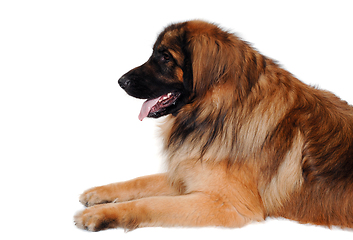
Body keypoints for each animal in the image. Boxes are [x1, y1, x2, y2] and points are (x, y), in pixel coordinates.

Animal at [73, 20, 352, 231]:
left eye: (165, 57)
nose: (121, 81)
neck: (219, 110)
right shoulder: (188, 174)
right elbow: (140, 181)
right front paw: (99, 193)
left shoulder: (225, 204)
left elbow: (151, 203)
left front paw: (100, 214)